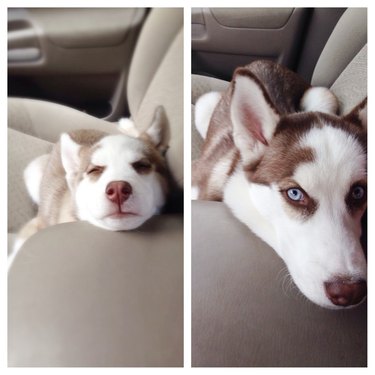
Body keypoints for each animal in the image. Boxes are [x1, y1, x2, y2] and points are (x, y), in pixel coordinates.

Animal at [194, 60, 368, 310]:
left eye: (358, 192)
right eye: (295, 194)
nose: (350, 291)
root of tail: (264, 62)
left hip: (323, 95)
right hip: (204, 106)